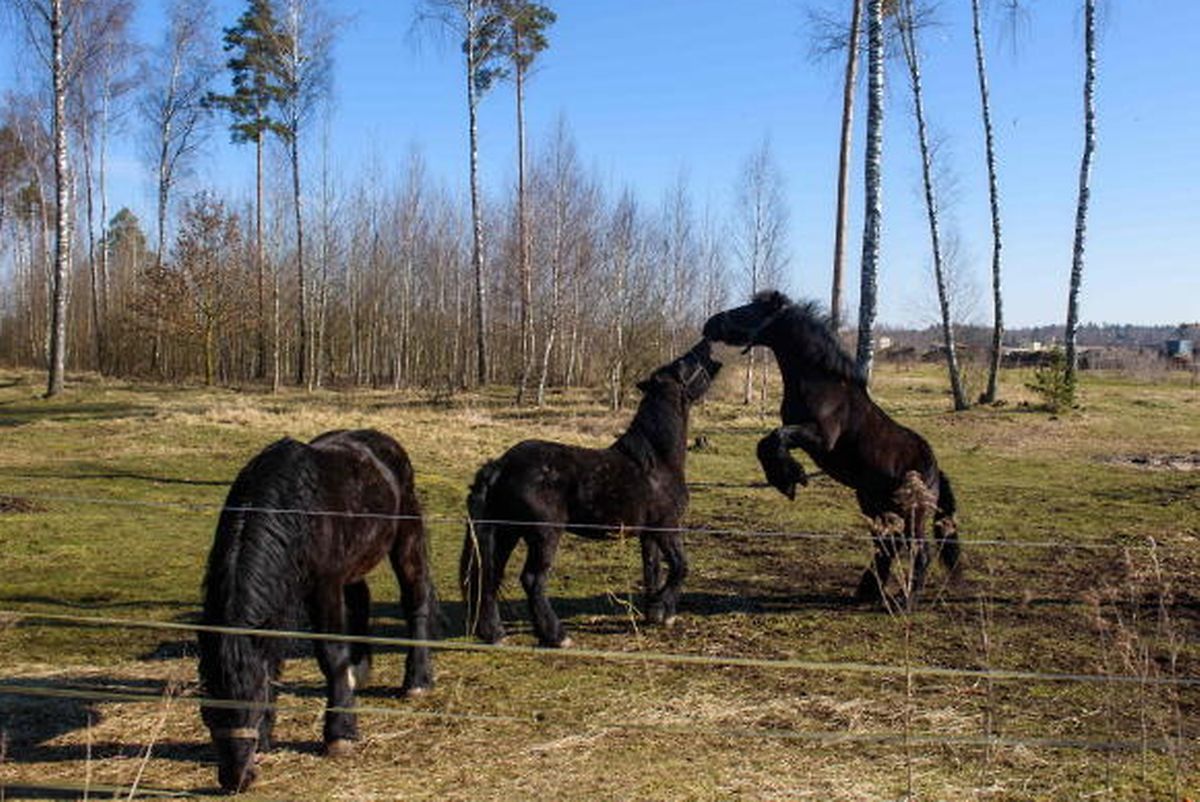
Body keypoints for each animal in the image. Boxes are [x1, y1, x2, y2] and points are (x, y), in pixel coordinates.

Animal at [198, 429, 436, 793]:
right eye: (206, 705)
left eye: (252, 698)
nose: (236, 779)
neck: (296, 508)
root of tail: (382, 441)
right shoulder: (280, 597)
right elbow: (271, 659)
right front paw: (265, 736)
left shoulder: (324, 587)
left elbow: (331, 654)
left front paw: (340, 735)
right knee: (361, 599)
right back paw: (358, 672)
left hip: (406, 537)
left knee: (415, 600)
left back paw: (416, 682)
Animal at [460, 339, 722, 647]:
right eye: (683, 363)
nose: (706, 344)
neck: (657, 461)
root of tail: (501, 465)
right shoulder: (666, 527)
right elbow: (681, 567)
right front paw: (662, 609)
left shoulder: (649, 534)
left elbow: (652, 570)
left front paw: (655, 614)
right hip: (544, 535)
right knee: (532, 579)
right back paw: (556, 635)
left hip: (506, 532)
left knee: (490, 575)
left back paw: (495, 633)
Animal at [703, 291, 960, 607]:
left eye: (752, 309)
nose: (711, 324)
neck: (823, 383)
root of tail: (934, 468)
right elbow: (765, 443)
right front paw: (786, 478)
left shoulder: (820, 437)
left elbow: (775, 439)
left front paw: (790, 478)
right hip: (875, 504)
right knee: (888, 545)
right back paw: (868, 592)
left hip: (914, 513)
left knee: (919, 552)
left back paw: (905, 602)